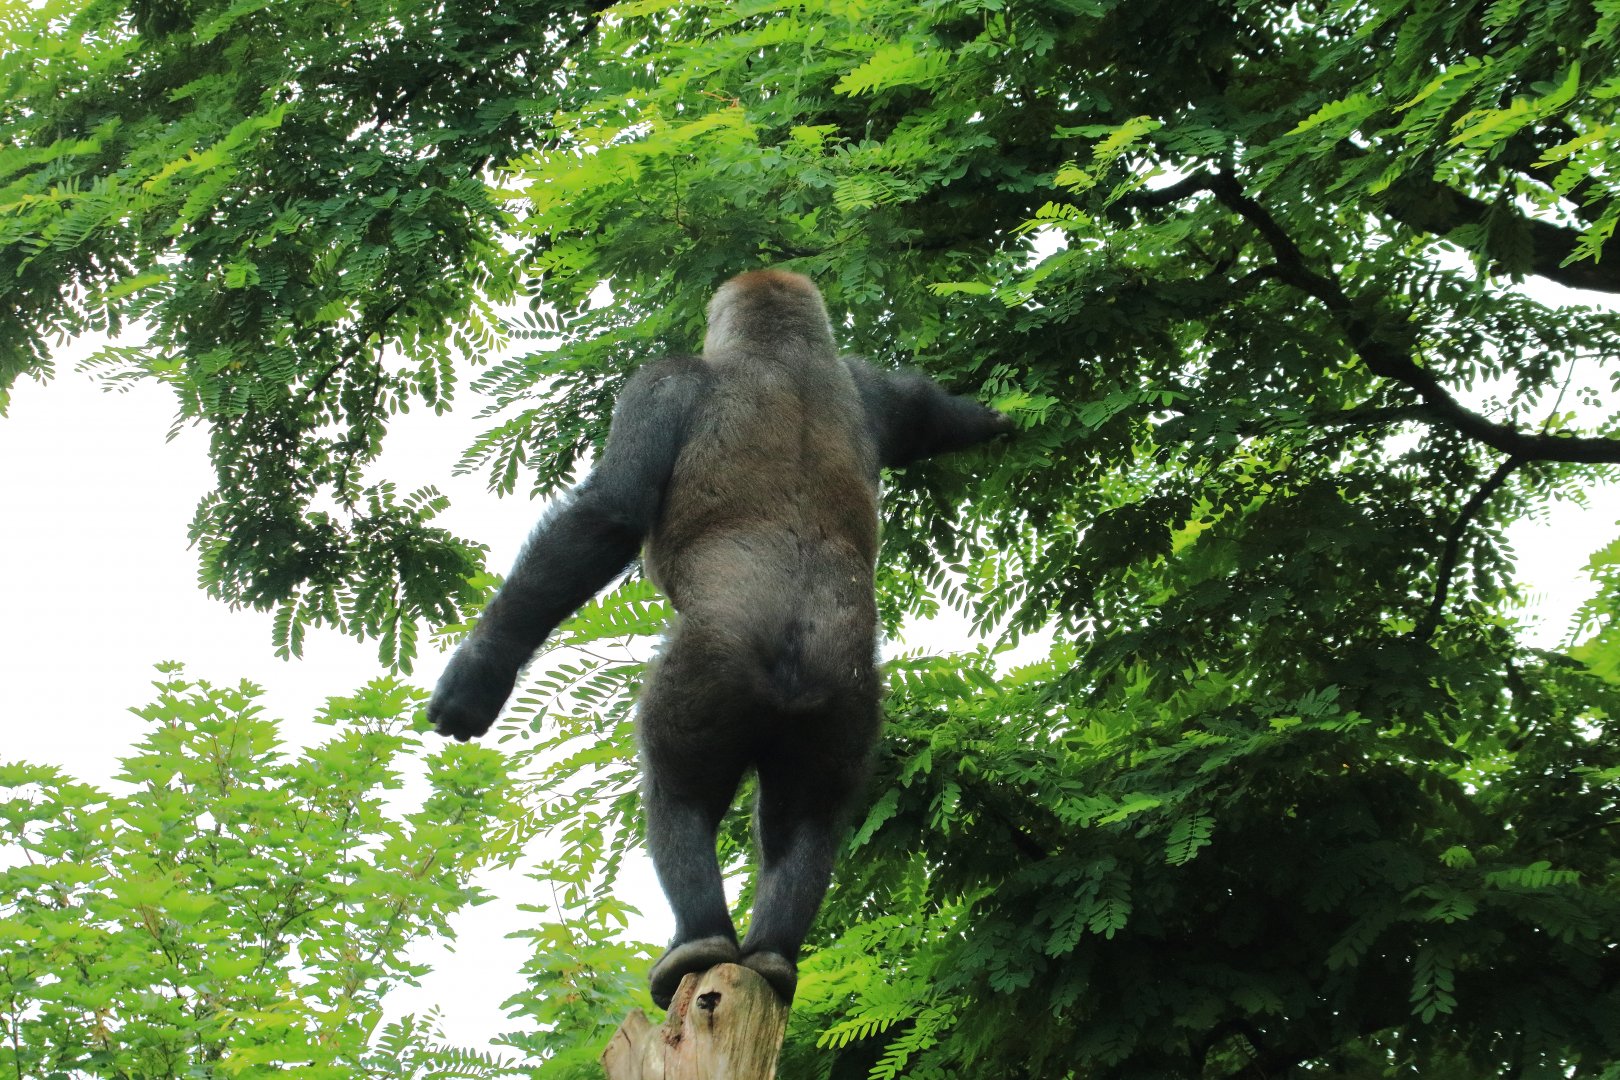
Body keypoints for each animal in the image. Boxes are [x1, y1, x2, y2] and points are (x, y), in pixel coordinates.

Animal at [429, 269, 1011, 1008]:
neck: (780, 350)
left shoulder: (663, 382)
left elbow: (608, 516)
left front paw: (481, 670)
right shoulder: (869, 383)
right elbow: (924, 413)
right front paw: (991, 417)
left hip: (709, 670)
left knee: (678, 791)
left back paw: (700, 938)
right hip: (843, 698)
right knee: (807, 819)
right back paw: (772, 954)